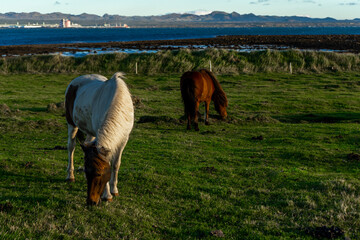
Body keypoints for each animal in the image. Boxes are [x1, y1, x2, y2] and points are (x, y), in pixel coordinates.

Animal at [64, 72, 134, 205]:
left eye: (99, 174)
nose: (91, 201)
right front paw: (107, 195)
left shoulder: (123, 139)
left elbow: (116, 164)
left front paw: (114, 189)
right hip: (72, 124)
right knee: (71, 147)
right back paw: (70, 176)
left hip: (91, 132)